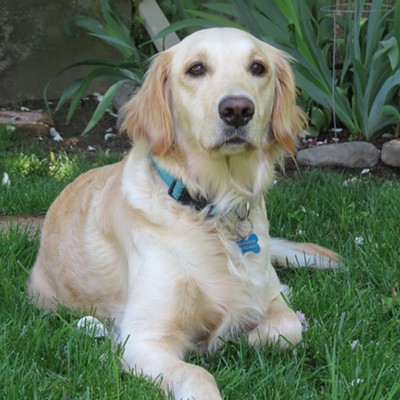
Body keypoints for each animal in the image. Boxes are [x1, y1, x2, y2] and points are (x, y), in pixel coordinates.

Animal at [27, 28, 338, 400]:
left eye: (257, 67)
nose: (237, 110)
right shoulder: (143, 340)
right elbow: (199, 375)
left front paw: (237, 336)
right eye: (196, 69)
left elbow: (288, 327)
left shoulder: (269, 298)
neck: (212, 209)